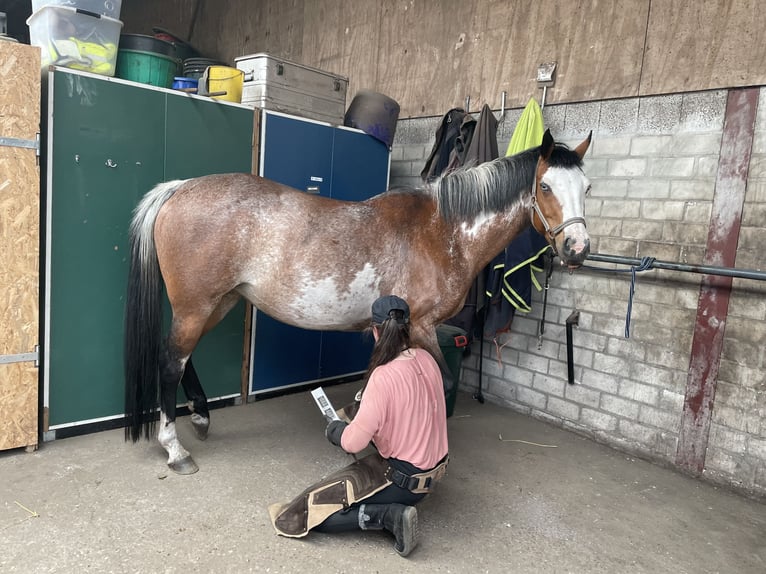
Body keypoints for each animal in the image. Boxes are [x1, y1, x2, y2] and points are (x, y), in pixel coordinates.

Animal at [124, 128, 592, 474]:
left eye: (587, 187)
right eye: (545, 186)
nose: (578, 248)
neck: (443, 231)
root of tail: (180, 188)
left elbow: (379, 378)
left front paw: (356, 414)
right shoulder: (421, 326)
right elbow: (443, 383)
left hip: (216, 303)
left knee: (183, 359)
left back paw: (201, 418)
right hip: (196, 305)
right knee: (171, 362)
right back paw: (176, 449)